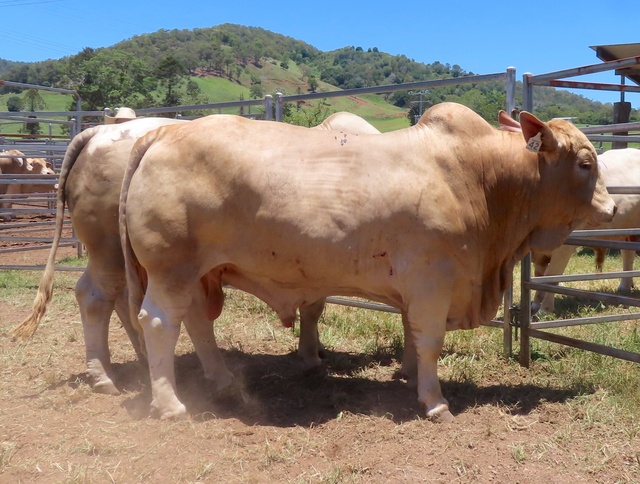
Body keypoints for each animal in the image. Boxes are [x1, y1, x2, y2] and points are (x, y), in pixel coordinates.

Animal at [11, 113, 383, 395]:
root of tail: (96, 132)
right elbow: (314, 307)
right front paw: (311, 355)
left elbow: (314, 307)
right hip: (114, 252)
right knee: (96, 298)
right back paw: (104, 376)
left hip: (127, 259)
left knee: (124, 302)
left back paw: (143, 360)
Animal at [119, 102, 616, 421]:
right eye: (585, 163)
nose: (612, 209)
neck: (480, 179)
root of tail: (164, 132)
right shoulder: (432, 280)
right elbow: (429, 341)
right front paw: (434, 402)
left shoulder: (416, 288)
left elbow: (412, 337)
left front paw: (409, 377)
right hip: (171, 268)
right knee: (159, 323)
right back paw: (172, 405)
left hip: (201, 272)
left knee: (197, 323)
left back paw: (222, 384)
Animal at [532, 148, 640, 313]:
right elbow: (539, 276)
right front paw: (535, 303)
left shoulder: (564, 247)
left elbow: (551, 276)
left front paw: (545, 309)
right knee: (628, 254)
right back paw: (624, 288)